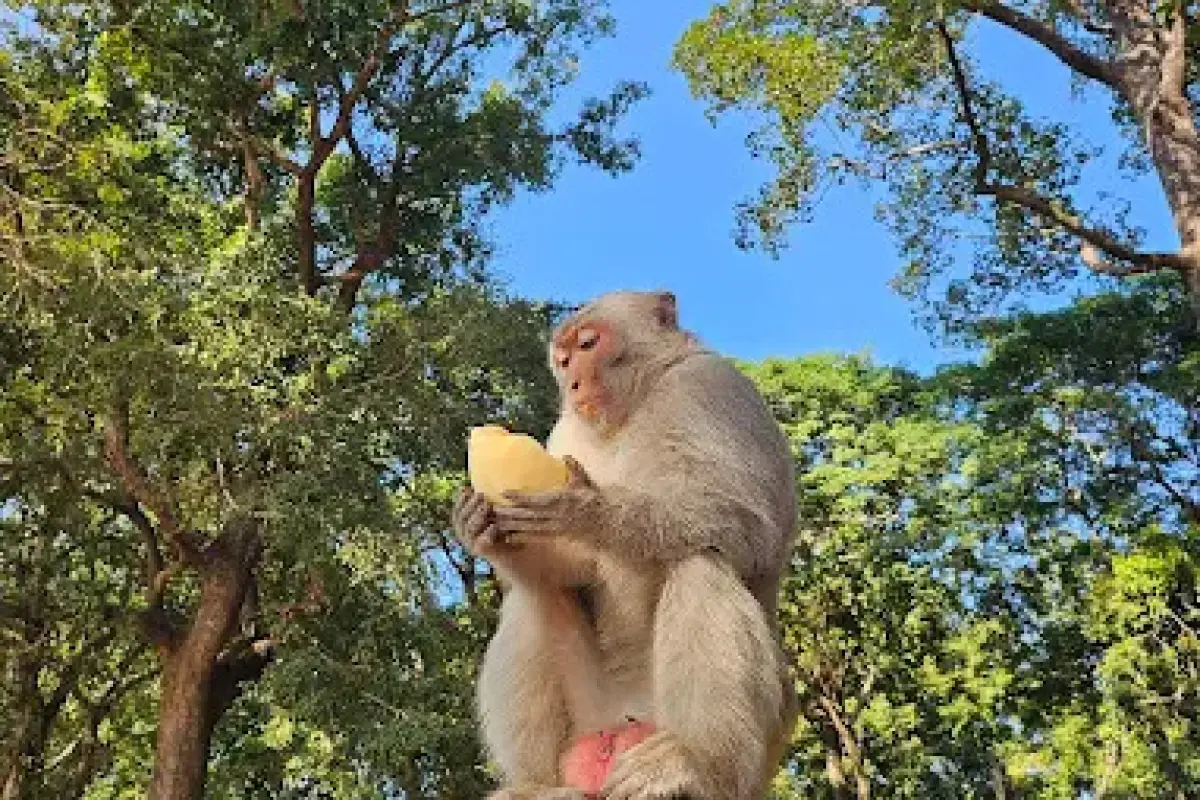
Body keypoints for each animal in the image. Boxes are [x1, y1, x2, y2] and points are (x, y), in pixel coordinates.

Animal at [453, 290, 798, 799]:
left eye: (589, 344)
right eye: (563, 360)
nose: (573, 382)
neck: (632, 406)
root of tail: (623, 721)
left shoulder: (712, 388)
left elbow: (748, 523)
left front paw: (588, 510)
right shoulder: (565, 431)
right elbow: (568, 570)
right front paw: (481, 529)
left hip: (760, 736)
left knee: (699, 561)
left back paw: (700, 762)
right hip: (591, 713)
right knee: (531, 596)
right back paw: (535, 785)